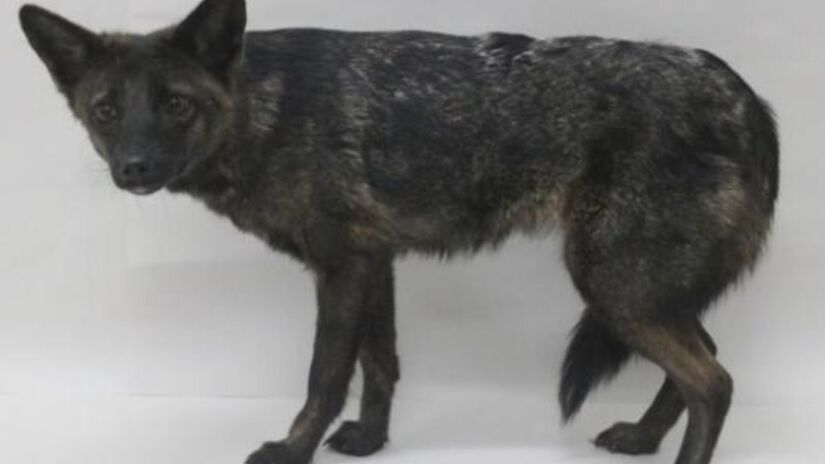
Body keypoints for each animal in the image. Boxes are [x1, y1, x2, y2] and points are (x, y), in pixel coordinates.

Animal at [18, 0, 779, 463]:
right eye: (106, 110)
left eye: (175, 105)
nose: (134, 169)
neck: (269, 111)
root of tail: (745, 96)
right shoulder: (371, 262)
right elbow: (380, 364)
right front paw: (368, 441)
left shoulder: (342, 268)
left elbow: (326, 374)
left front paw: (292, 450)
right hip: (637, 293)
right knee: (704, 360)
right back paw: (641, 438)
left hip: (614, 286)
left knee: (712, 380)